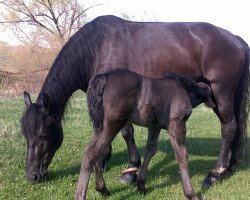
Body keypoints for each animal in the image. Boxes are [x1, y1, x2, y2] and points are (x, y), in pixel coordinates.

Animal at [75, 69, 213, 199]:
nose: (213, 104)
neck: (185, 90)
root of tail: (104, 77)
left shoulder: (154, 126)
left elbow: (150, 150)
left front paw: (141, 186)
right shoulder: (177, 123)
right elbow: (182, 154)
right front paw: (191, 194)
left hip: (99, 127)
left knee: (95, 152)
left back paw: (103, 189)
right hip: (112, 124)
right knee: (91, 153)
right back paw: (81, 195)